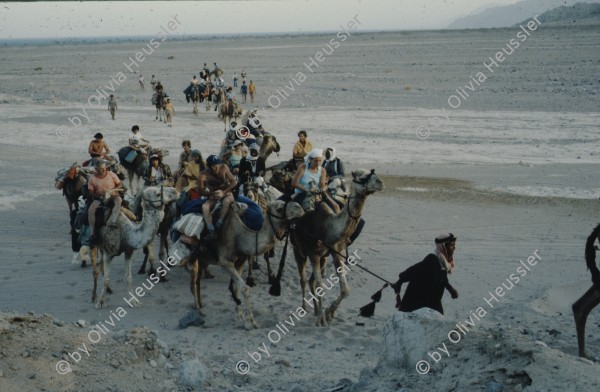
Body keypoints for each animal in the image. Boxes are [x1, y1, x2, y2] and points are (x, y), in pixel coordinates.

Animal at [169, 201, 302, 330]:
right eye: (279, 208)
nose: (299, 208)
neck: (240, 237)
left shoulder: (240, 261)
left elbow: (235, 288)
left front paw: (239, 318)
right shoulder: (224, 262)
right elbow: (245, 288)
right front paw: (250, 323)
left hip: (202, 258)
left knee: (197, 281)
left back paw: (201, 305)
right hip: (191, 257)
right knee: (193, 282)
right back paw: (198, 311)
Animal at [290, 168, 384, 324]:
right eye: (363, 178)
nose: (380, 182)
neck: (330, 229)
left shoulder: (335, 252)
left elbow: (345, 288)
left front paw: (329, 312)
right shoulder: (314, 254)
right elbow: (321, 285)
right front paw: (322, 319)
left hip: (322, 258)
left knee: (311, 281)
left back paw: (316, 310)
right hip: (298, 251)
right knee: (303, 279)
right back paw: (304, 308)